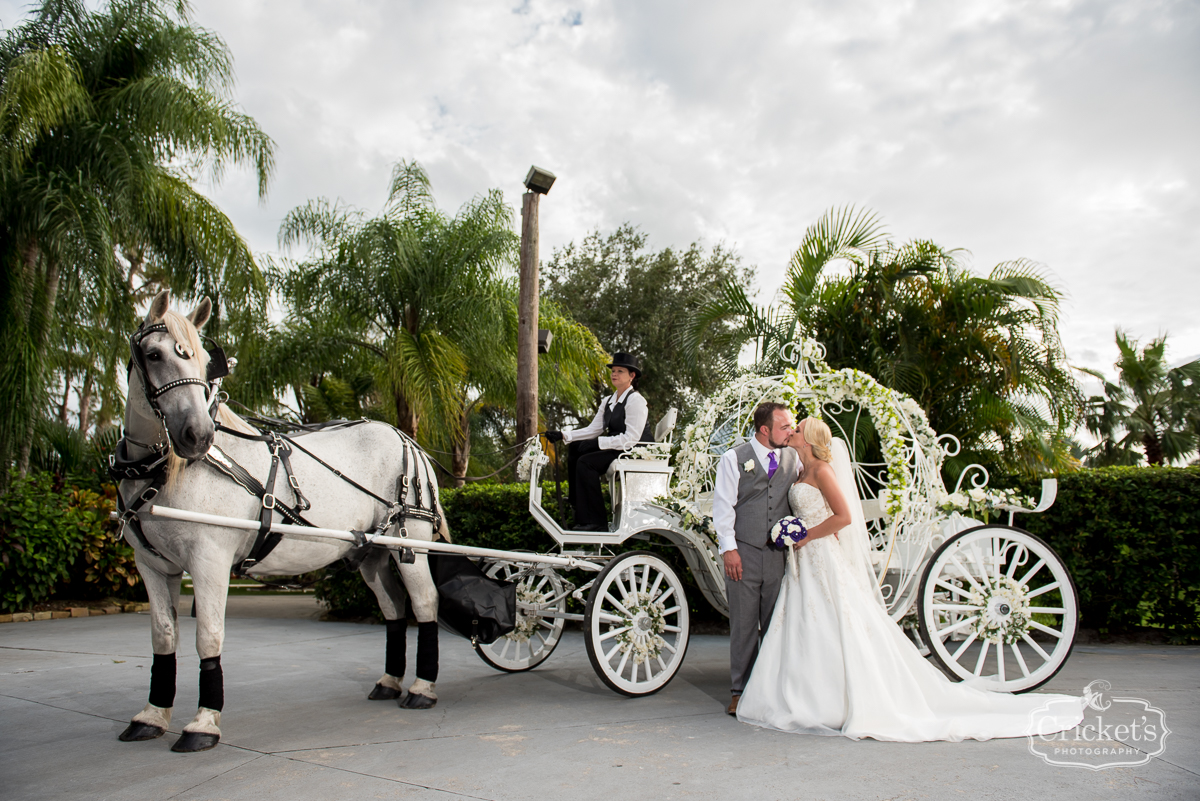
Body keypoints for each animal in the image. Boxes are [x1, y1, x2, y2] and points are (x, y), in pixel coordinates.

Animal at [113, 292, 446, 753]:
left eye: (203, 362)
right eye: (153, 354)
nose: (197, 436)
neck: (163, 474)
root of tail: (406, 438)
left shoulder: (209, 560)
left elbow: (208, 635)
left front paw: (203, 722)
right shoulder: (151, 565)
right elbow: (163, 636)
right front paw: (151, 715)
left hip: (408, 541)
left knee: (425, 602)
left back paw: (422, 688)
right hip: (371, 552)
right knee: (393, 607)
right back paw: (389, 681)